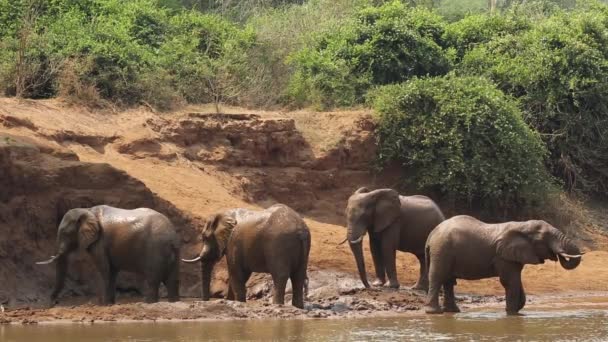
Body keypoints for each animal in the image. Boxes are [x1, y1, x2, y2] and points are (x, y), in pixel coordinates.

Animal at [36, 204, 180, 306]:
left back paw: (148, 303)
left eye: (65, 233)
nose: (53, 302)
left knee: (152, 279)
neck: (87, 210)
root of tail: (172, 237)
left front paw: (103, 305)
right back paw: (173, 302)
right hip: (173, 253)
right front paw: (110, 303)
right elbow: (112, 271)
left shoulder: (100, 242)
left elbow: (104, 270)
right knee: (173, 280)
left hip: (155, 249)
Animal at [182, 204, 312, 308]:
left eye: (205, 237)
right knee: (298, 276)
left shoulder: (233, 242)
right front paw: (230, 301)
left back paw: (277, 305)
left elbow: (236, 272)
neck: (226, 214)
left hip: (279, 244)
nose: (205, 301)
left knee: (280, 275)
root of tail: (301, 230)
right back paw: (298, 307)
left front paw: (238, 302)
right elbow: (240, 274)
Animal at [426, 216, 580, 316]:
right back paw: (434, 312)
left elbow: (516, 280)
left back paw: (453, 311)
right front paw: (512, 314)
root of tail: (431, 234)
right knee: (438, 277)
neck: (522, 225)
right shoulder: (503, 257)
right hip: (442, 251)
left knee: (448, 281)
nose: (559, 255)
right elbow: (510, 281)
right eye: (545, 238)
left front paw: (516, 309)